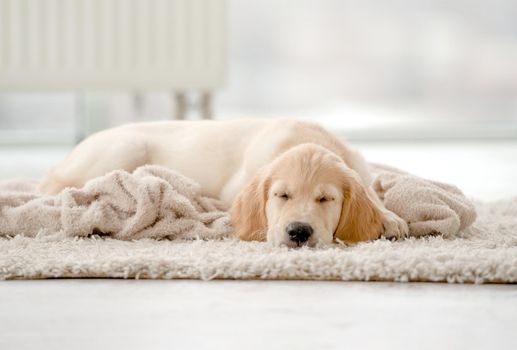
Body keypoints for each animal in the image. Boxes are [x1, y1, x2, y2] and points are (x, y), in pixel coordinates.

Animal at [39, 119, 408, 247]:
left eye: (325, 200)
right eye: (281, 195)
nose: (299, 233)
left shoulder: (358, 166)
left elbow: (372, 192)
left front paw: (389, 217)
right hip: (127, 147)